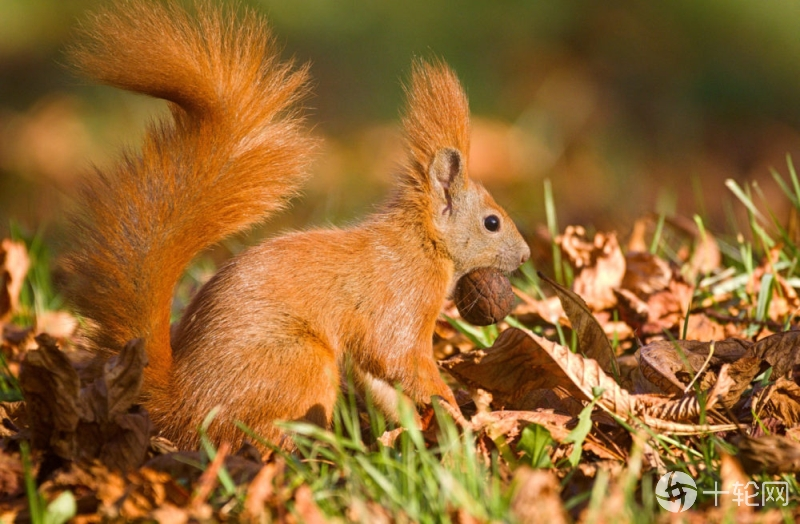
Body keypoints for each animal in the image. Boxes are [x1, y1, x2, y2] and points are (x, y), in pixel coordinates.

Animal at [65, 1, 532, 450]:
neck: (421, 243)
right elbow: (401, 359)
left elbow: (381, 380)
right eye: (492, 223)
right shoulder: (401, 300)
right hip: (301, 364)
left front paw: (419, 426)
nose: (526, 256)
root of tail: (181, 404)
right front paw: (455, 412)